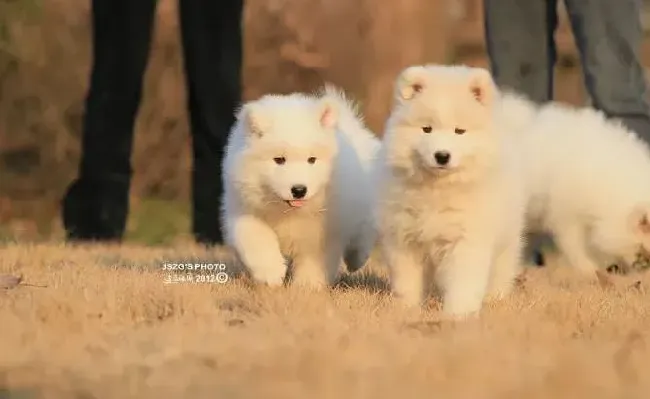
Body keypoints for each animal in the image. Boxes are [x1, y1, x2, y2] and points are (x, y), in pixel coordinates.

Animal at [221, 86, 380, 290]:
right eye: (279, 159)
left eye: (312, 159)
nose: (298, 190)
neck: (289, 212)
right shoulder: (246, 210)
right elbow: (258, 241)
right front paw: (271, 274)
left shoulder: (324, 229)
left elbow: (314, 259)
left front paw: (307, 286)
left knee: (362, 235)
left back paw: (356, 259)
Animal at [370, 63, 528, 318]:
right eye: (426, 129)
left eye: (459, 131)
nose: (442, 156)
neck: (438, 188)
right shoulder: (403, 238)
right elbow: (407, 282)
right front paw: (407, 309)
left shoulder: (467, 238)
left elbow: (463, 281)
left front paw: (458, 314)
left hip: (507, 238)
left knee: (501, 270)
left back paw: (496, 298)